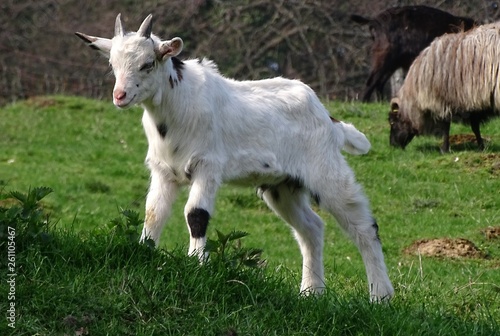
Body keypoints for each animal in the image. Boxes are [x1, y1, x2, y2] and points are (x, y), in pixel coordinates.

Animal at [390, 23, 500, 154]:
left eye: (392, 121)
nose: (392, 145)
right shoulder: (472, 101)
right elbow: (475, 127)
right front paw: (481, 147)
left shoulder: (442, 101)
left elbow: (446, 127)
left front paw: (444, 149)